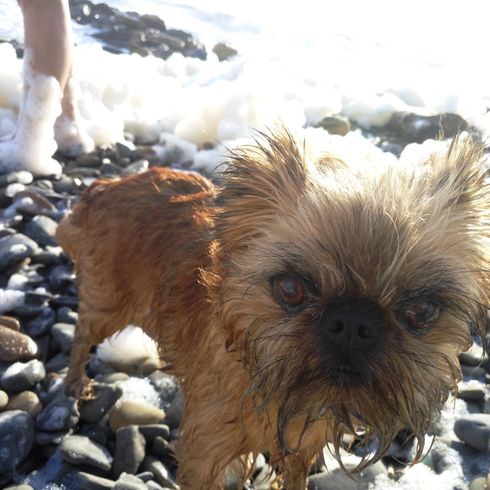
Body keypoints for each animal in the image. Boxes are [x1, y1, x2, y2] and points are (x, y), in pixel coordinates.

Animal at [58, 131, 490, 490]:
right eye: (290, 289)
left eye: (422, 310)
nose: (353, 321)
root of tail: (103, 188)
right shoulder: (203, 456)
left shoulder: (301, 447)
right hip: (106, 305)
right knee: (81, 339)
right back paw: (75, 384)